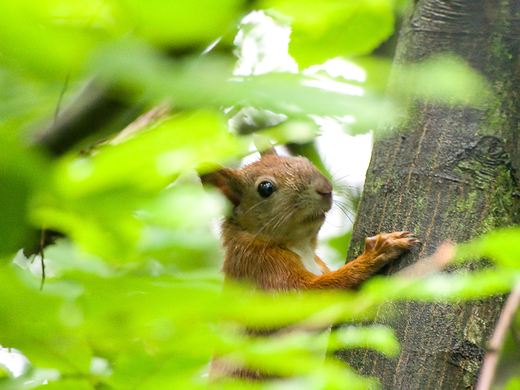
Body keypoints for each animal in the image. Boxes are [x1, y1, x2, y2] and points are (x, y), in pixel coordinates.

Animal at [200, 148, 418, 290]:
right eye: (265, 188)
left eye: (305, 161)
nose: (326, 187)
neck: (301, 246)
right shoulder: (260, 268)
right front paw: (376, 253)